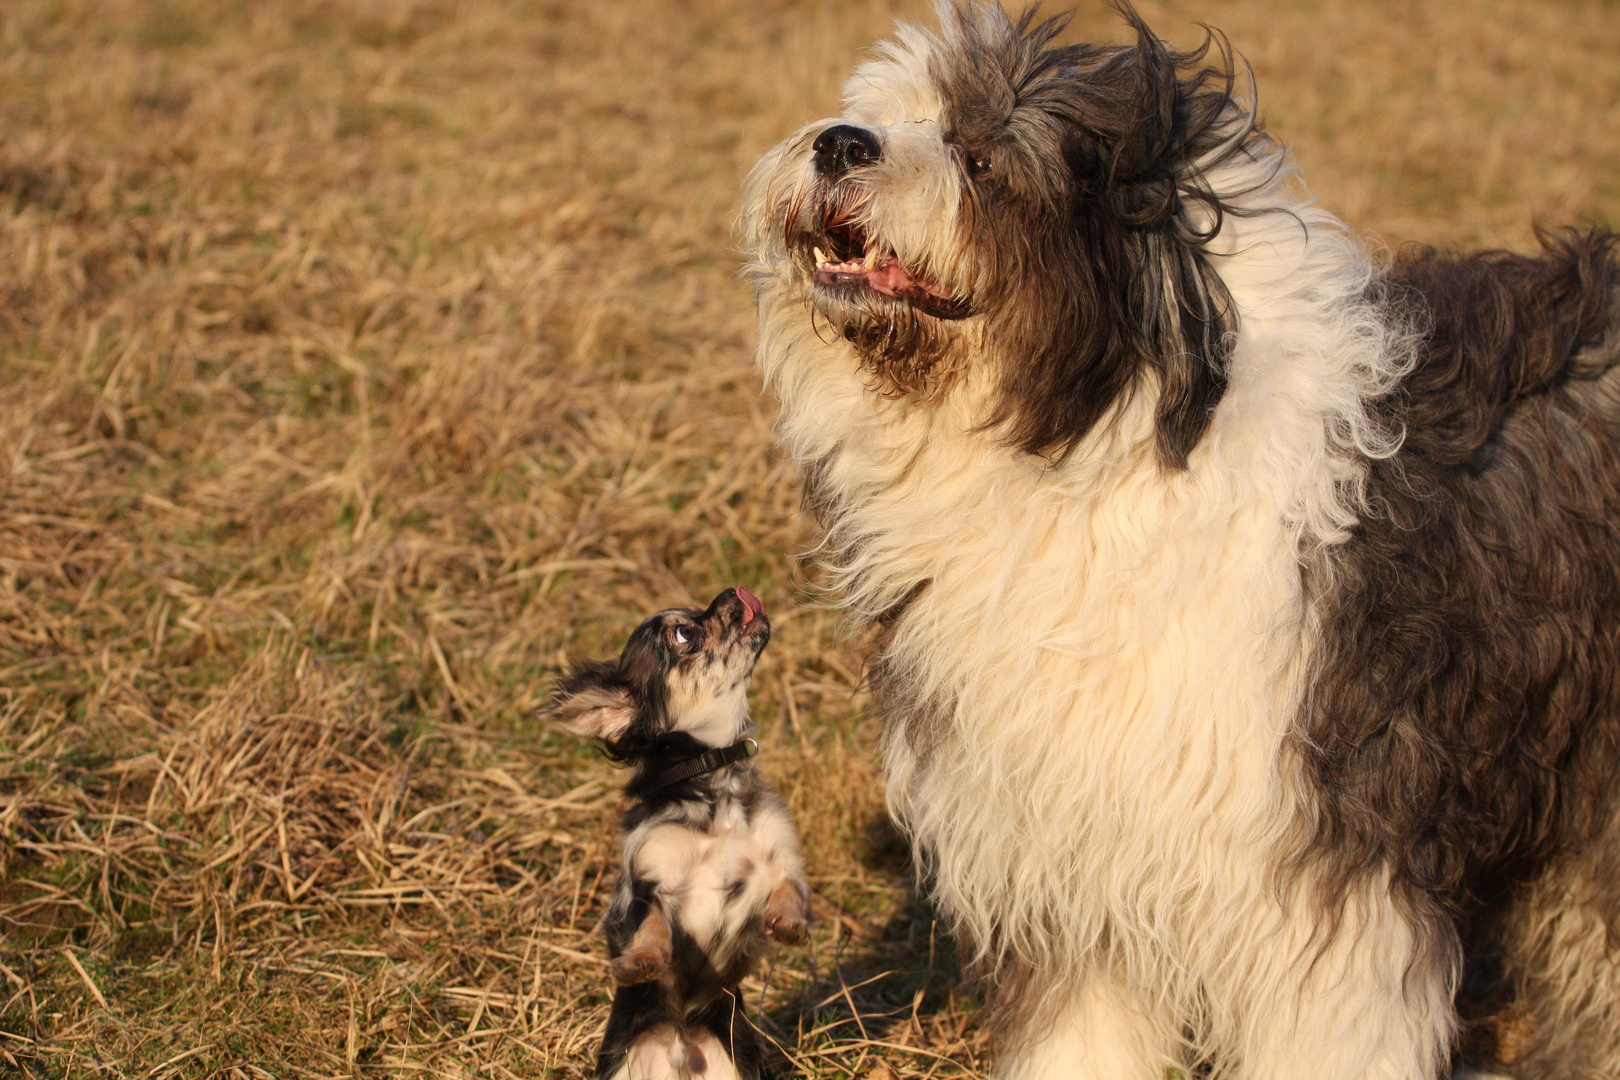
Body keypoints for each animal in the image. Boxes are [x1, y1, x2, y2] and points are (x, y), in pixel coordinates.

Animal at [738, 2, 1620, 1080]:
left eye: (982, 158)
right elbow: (1079, 1033)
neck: (1099, 445)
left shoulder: (1323, 878)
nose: (838, 143)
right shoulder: (1071, 854)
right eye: (879, 115)